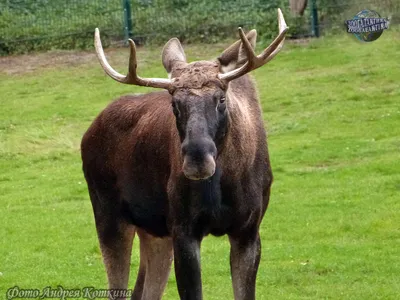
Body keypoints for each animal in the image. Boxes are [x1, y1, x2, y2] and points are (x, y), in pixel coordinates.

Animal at [81, 8, 288, 300]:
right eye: (174, 103)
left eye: (221, 98)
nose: (197, 160)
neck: (227, 182)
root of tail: (88, 133)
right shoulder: (183, 230)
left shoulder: (248, 230)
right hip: (109, 216)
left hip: (154, 231)